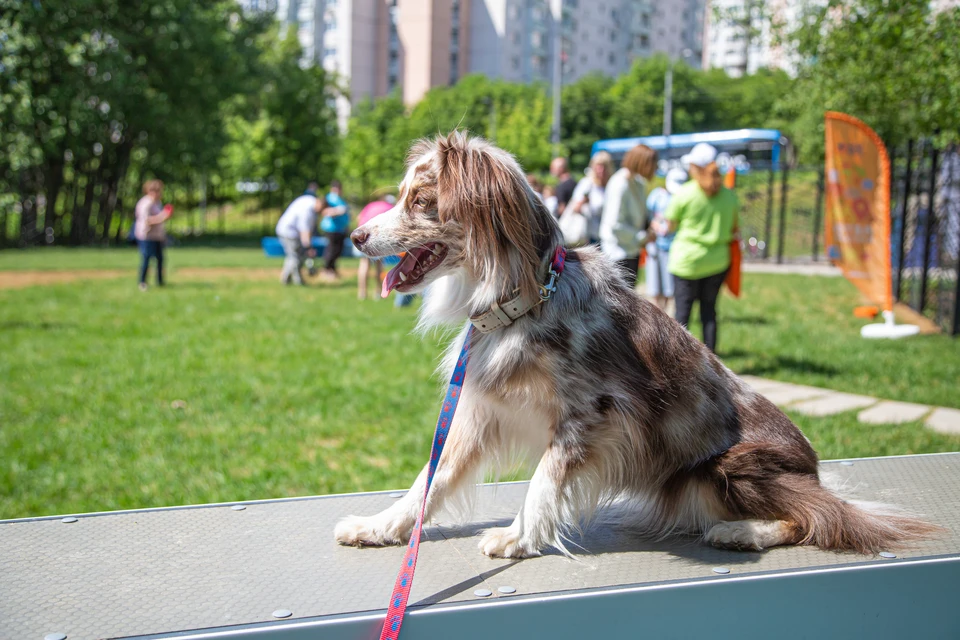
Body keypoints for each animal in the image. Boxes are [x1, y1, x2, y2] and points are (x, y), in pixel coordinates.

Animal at [336, 132, 928, 556]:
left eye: (421, 200)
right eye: (401, 196)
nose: (355, 236)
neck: (522, 303)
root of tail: (814, 473)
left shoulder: (592, 412)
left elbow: (545, 477)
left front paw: (519, 536)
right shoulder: (477, 413)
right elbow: (428, 482)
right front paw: (380, 526)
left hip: (728, 468)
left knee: (819, 520)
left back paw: (743, 533)